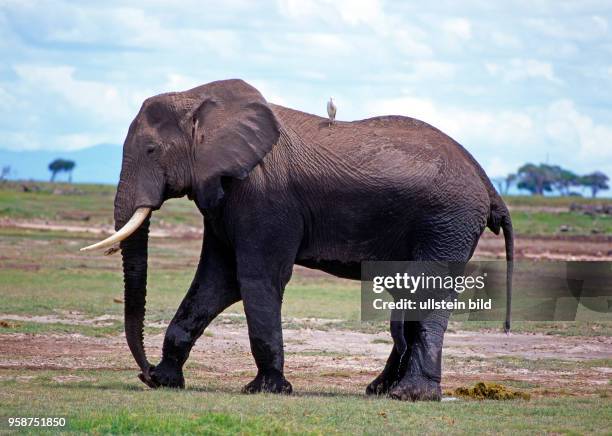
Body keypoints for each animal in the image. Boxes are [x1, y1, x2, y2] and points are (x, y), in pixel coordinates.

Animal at [80, 79, 512, 402]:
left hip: (447, 221)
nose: (144, 373)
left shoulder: (264, 197)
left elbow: (256, 279)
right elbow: (216, 283)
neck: (202, 100)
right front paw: (167, 382)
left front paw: (264, 390)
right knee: (406, 298)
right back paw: (378, 390)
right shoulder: (223, 200)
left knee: (426, 293)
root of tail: (488, 183)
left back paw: (410, 395)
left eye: (152, 150)